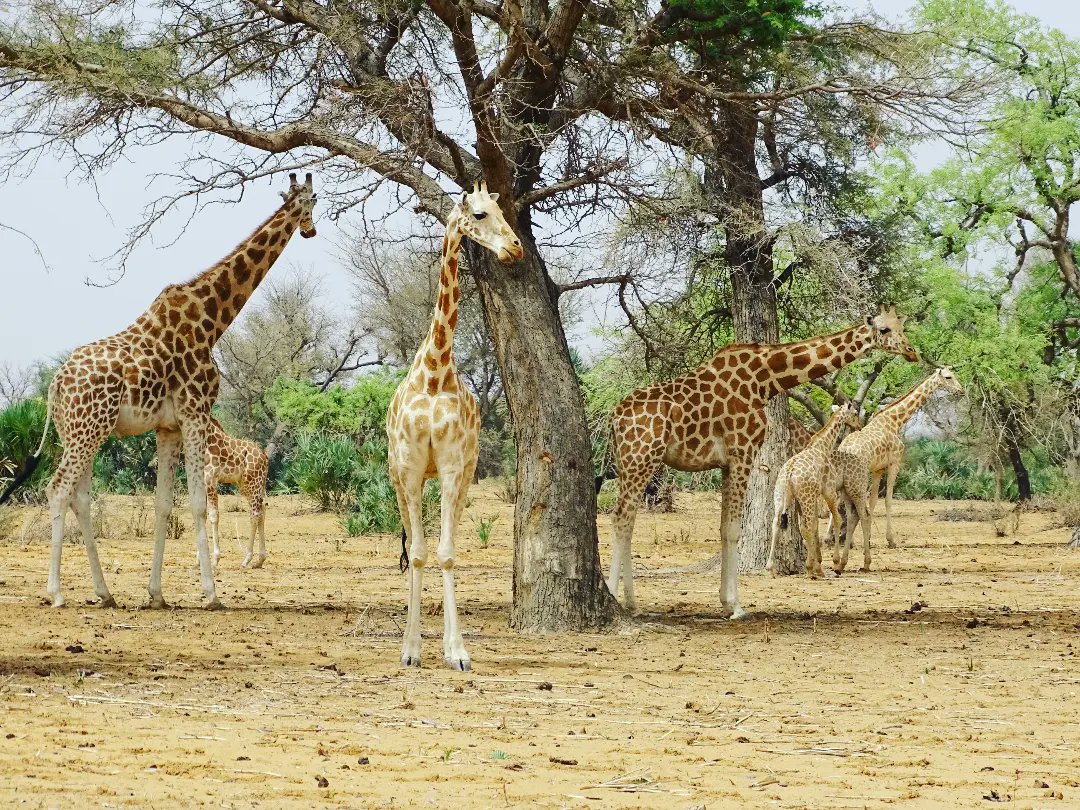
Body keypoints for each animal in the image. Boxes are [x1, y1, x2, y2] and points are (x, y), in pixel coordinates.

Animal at [200, 417, 269, 570]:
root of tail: (265, 456)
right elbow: (201, 515)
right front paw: (199, 561)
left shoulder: (210, 480)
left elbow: (214, 516)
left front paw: (215, 560)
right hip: (251, 484)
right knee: (262, 510)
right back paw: (260, 560)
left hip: (252, 483)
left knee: (255, 514)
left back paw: (246, 560)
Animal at [386, 181, 522, 671]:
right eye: (479, 215)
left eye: (503, 211)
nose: (516, 248)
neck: (434, 370)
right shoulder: (409, 469)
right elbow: (419, 554)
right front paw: (409, 650)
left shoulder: (449, 466)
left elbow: (445, 554)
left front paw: (457, 650)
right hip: (398, 479)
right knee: (412, 544)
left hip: (465, 475)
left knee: (451, 541)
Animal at [766, 403, 862, 578]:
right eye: (855, 413)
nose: (859, 426)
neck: (822, 445)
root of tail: (789, 472)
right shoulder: (828, 491)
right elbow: (835, 520)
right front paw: (833, 562)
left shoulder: (809, 498)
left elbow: (813, 526)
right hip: (807, 497)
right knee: (809, 524)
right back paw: (814, 568)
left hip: (781, 495)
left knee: (776, 522)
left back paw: (771, 568)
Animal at [833, 366, 965, 561]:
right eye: (948, 377)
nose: (961, 391)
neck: (894, 421)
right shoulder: (894, 463)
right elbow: (888, 499)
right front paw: (891, 540)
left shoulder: (878, 469)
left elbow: (873, 502)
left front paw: (869, 537)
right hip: (858, 477)